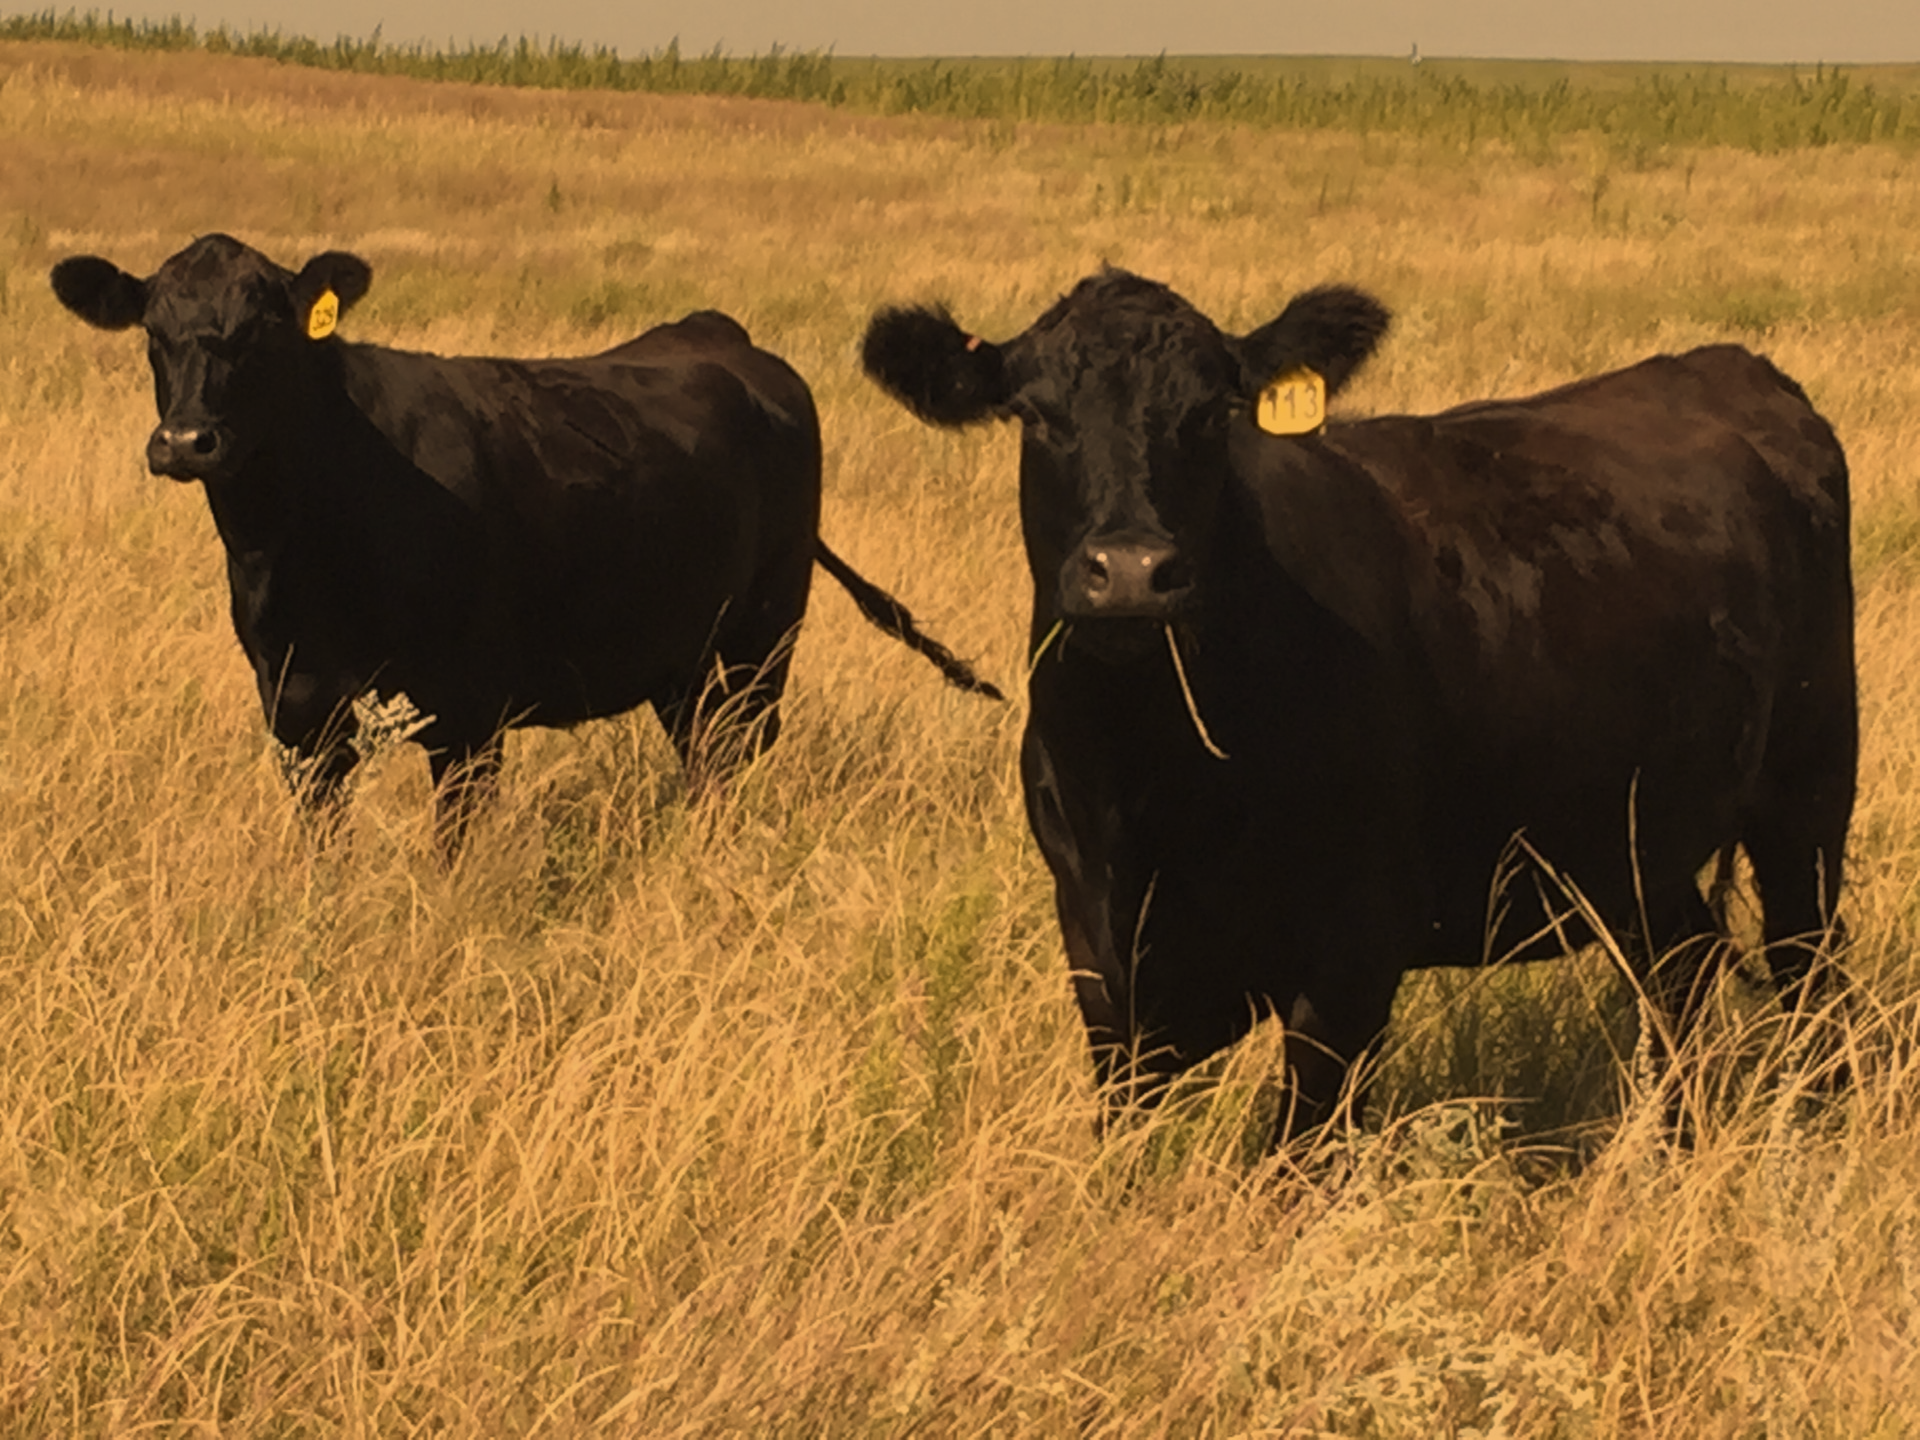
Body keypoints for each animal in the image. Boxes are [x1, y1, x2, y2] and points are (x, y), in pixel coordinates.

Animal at [51, 233, 1000, 848]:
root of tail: (725, 336)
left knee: (734, 760)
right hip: (683, 660)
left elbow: (454, 850)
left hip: (762, 644)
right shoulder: (297, 709)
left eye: (264, 328)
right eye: (153, 333)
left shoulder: (469, 714)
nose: (186, 441)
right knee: (701, 761)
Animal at [862, 267, 1856, 1144]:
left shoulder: (1350, 958)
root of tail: (1731, 368)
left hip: (1807, 788)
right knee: (1680, 972)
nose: (1134, 571)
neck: (1147, 784)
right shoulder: (1101, 959)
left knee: (1808, 967)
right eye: (1035, 415)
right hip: (1632, 838)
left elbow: (1300, 1156)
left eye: (1212, 413)